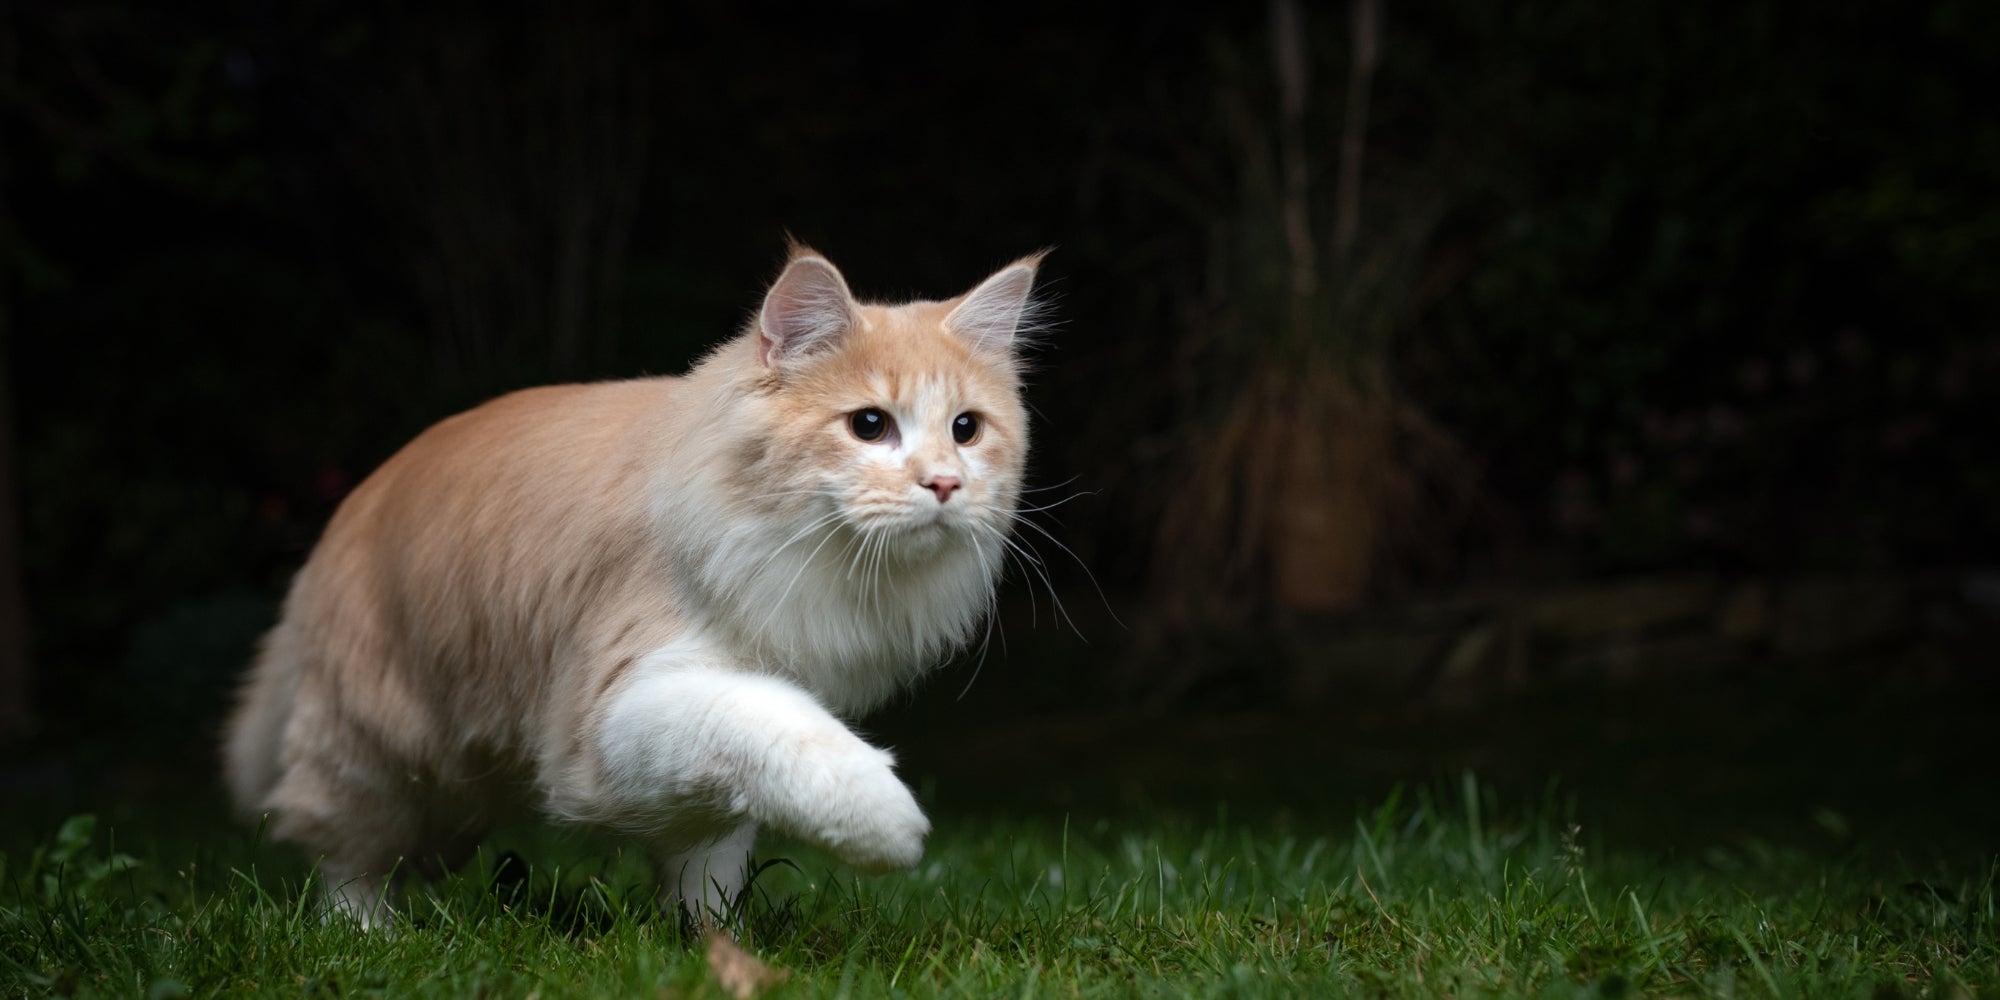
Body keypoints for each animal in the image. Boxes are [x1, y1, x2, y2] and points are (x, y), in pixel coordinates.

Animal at [223, 246, 1048, 924]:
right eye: (870, 426)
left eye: (966, 430)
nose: (943, 484)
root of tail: (338, 526)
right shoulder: (620, 711)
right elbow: (775, 732)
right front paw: (888, 826)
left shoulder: (712, 734)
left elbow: (712, 852)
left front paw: (716, 948)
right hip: (370, 753)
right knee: (345, 862)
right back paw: (371, 935)